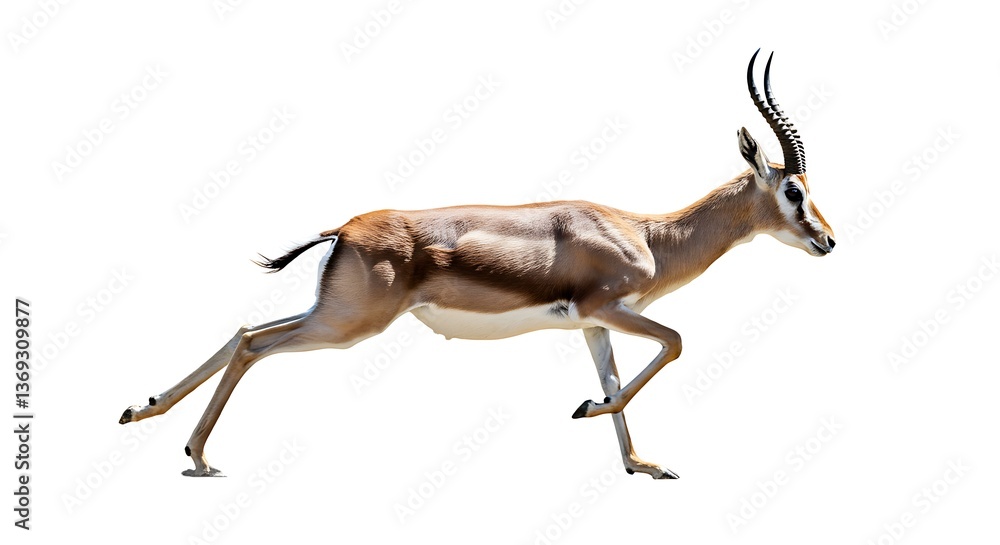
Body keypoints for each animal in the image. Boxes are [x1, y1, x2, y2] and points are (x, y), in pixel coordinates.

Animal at [120, 50, 834, 479]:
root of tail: (345, 228)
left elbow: (614, 382)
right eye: (793, 191)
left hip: (333, 312)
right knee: (254, 345)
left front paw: (641, 465)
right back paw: (198, 457)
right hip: (348, 326)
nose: (827, 240)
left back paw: (145, 413)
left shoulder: (593, 325)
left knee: (245, 330)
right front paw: (584, 412)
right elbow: (677, 343)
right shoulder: (611, 308)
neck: (646, 235)